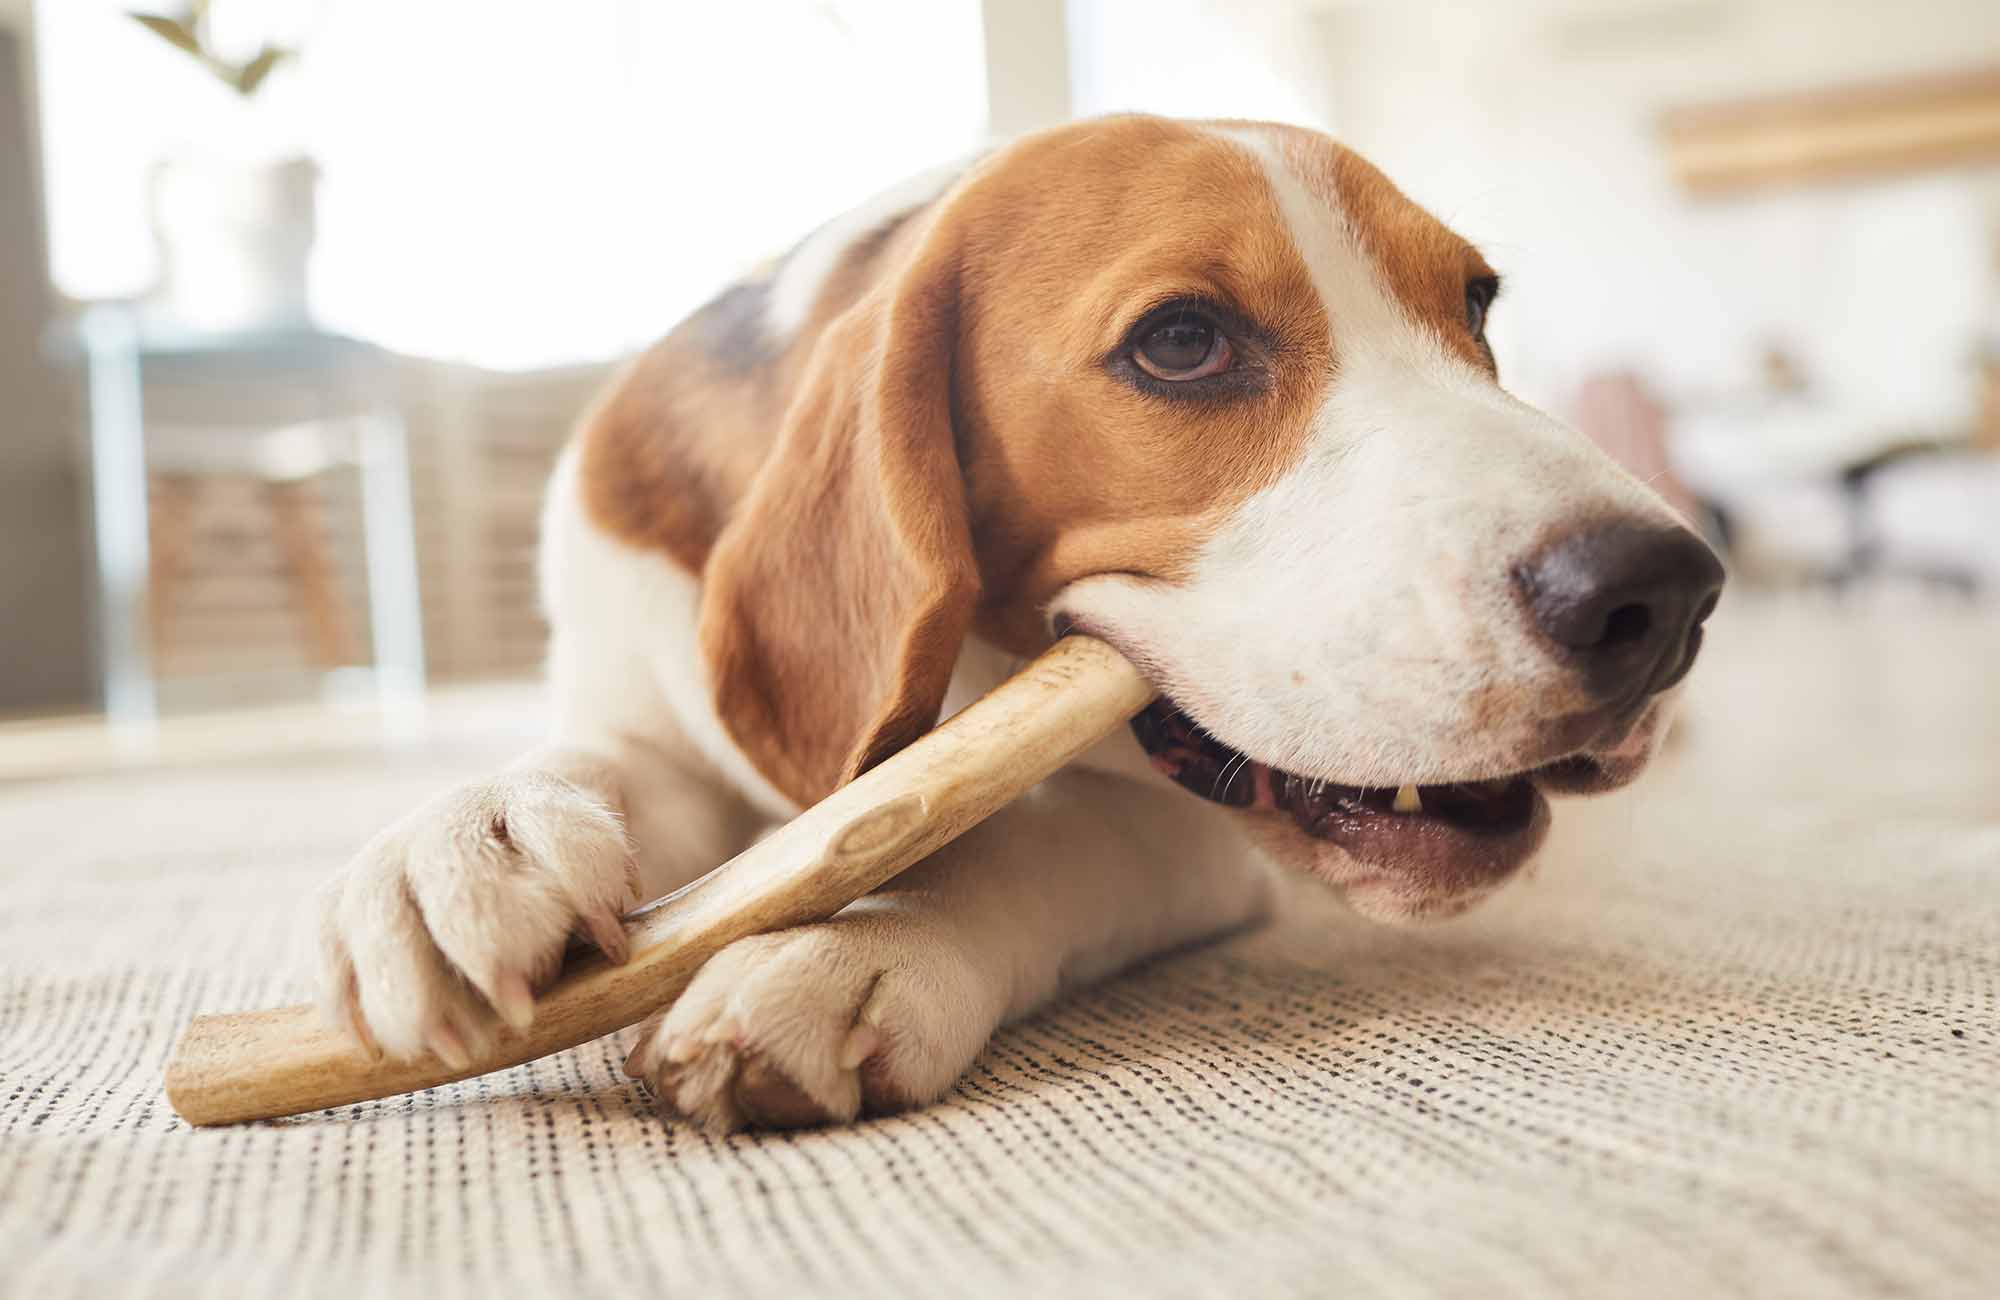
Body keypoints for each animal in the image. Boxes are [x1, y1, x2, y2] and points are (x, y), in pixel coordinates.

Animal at [312, 114, 1720, 1120]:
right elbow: (592, 769)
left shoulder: (1177, 831)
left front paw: (851, 947)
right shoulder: (638, 706)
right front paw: (467, 842)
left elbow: (1023, 839)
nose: (1664, 595)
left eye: (1474, 305)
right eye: (1182, 342)